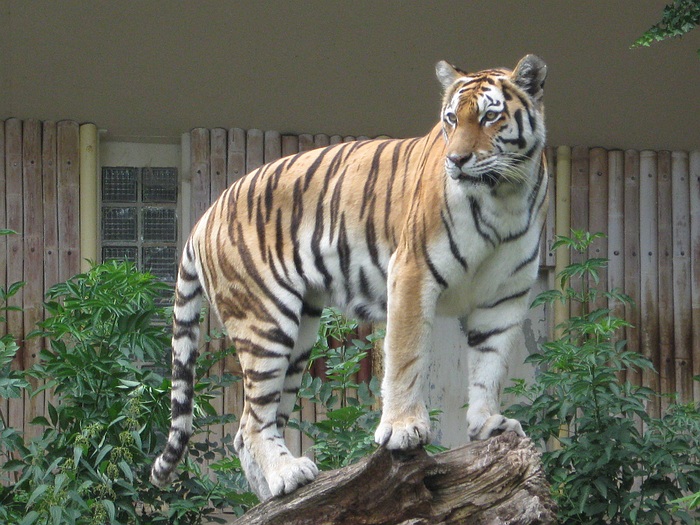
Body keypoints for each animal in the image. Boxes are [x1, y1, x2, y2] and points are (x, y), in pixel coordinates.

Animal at [151, 54, 548, 501]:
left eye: (489, 117)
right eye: (451, 119)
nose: (457, 160)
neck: (504, 196)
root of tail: (204, 217)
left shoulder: (505, 297)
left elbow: (489, 367)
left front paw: (488, 425)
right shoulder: (412, 272)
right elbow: (407, 357)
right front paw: (403, 430)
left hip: (299, 336)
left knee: (248, 428)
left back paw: (272, 494)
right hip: (265, 321)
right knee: (253, 423)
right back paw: (286, 477)